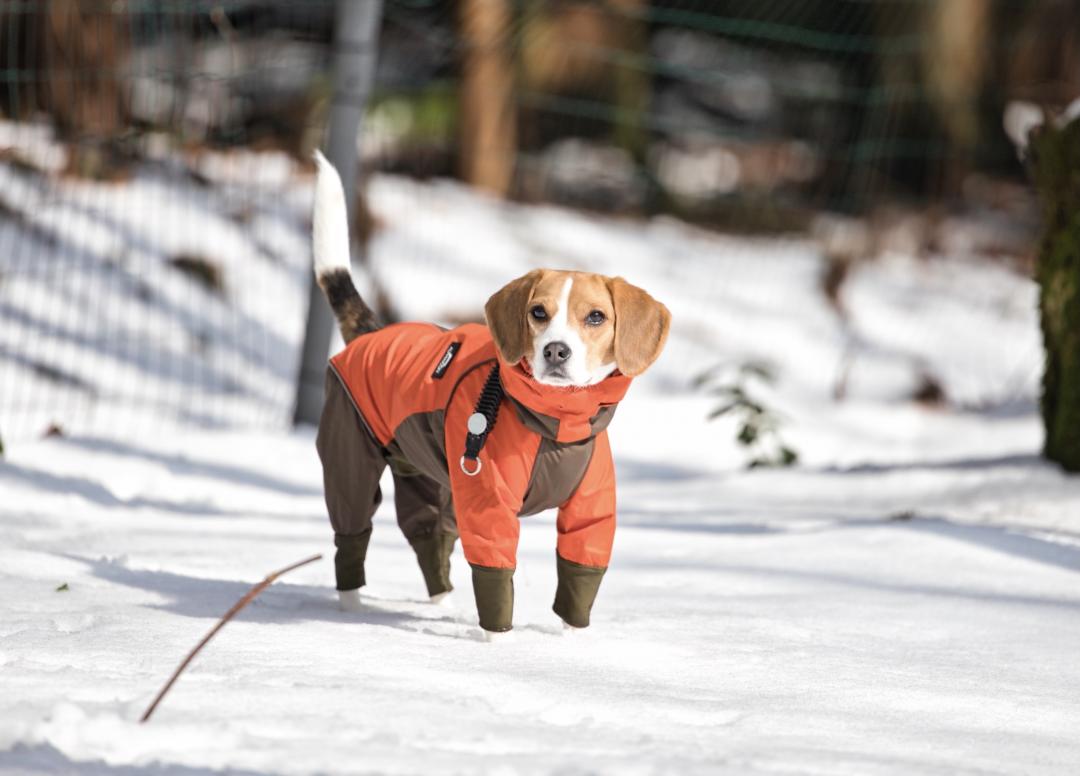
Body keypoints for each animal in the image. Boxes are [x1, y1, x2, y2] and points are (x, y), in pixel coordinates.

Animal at [308, 154, 669, 638]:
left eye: (596, 317)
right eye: (538, 312)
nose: (556, 350)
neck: (557, 422)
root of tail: (373, 332)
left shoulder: (591, 511)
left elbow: (581, 571)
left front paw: (572, 642)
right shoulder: (488, 504)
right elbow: (494, 571)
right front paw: (494, 642)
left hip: (429, 477)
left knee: (429, 536)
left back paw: (440, 605)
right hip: (351, 461)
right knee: (352, 533)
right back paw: (349, 611)